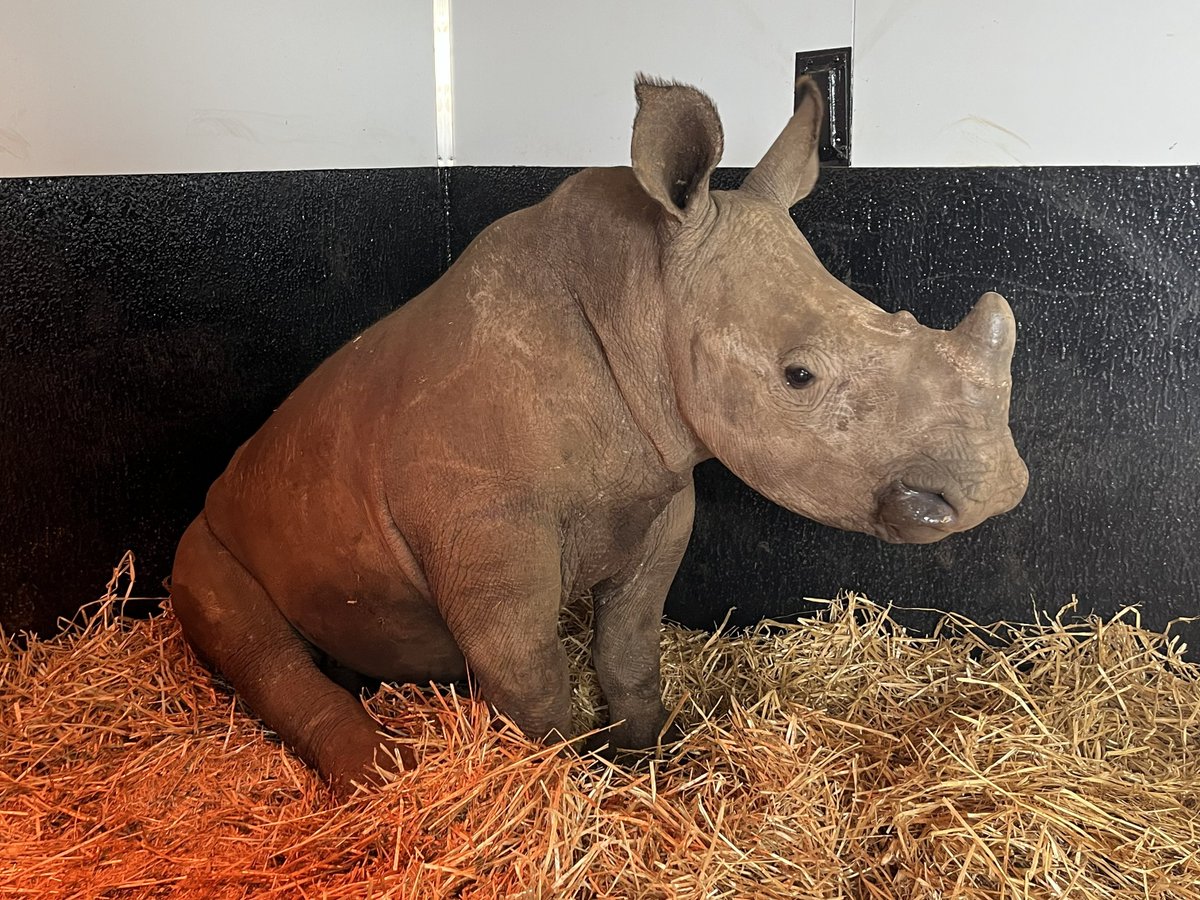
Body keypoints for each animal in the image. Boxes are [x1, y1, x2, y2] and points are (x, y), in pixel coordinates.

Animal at [171, 77, 1028, 793]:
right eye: (798, 376)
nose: (998, 488)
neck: (641, 294)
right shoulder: (484, 522)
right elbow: (532, 677)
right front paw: (572, 787)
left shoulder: (661, 488)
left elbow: (630, 646)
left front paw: (647, 758)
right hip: (208, 537)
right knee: (250, 636)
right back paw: (381, 779)